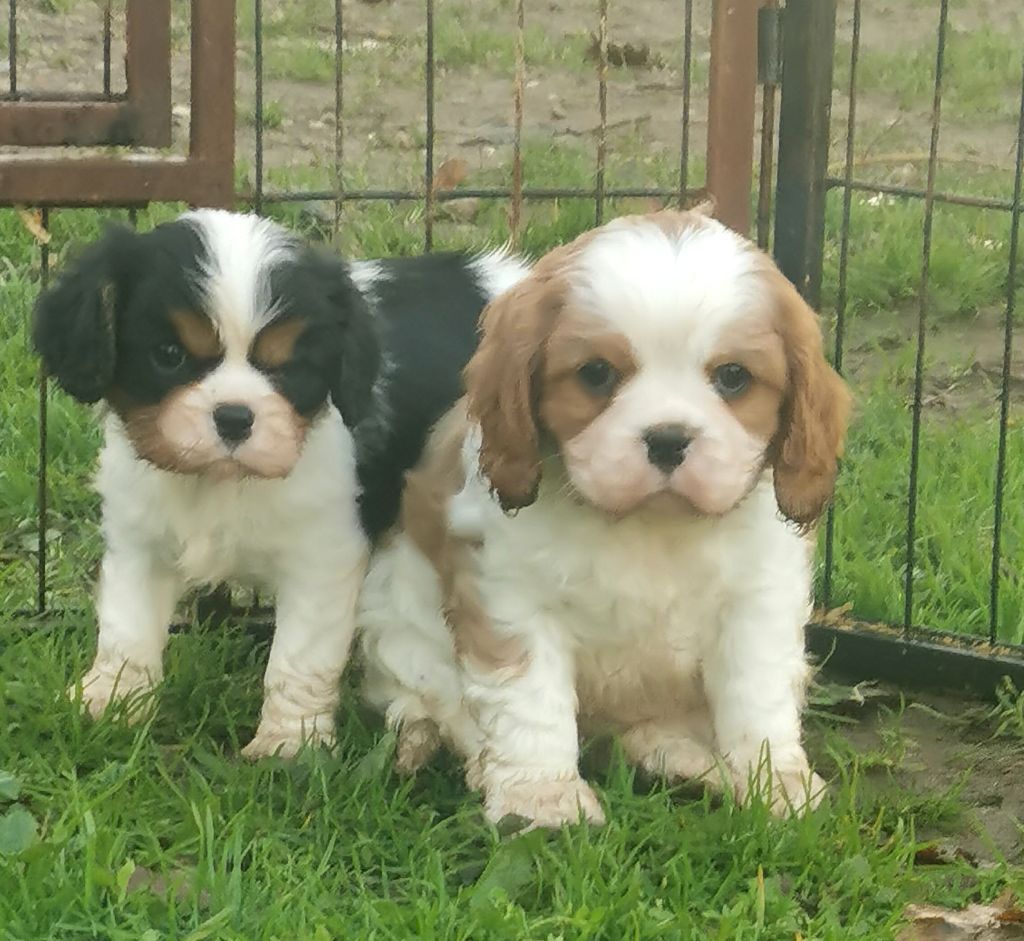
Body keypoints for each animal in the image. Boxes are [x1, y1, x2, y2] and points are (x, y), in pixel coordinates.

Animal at [34, 207, 528, 757]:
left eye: (288, 366)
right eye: (168, 354)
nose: (234, 417)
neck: (218, 483)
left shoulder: (322, 559)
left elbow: (299, 658)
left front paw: (289, 745)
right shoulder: (139, 539)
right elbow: (126, 628)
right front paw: (110, 705)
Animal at [356, 207, 851, 823]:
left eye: (733, 377)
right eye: (596, 374)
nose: (668, 439)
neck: (647, 527)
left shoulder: (758, 600)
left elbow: (755, 696)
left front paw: (774, 782)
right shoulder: (512, 599)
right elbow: (529, 702)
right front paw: (542, 802)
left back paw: (690, 761)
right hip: (399, 627)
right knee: (429, 706)